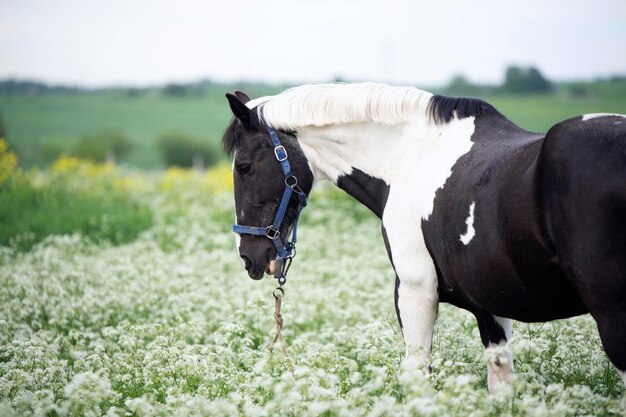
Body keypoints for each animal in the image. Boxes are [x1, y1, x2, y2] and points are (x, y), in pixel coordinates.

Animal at [222, 83, 620, 392]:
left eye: (244, 167)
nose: (248, 256)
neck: (412, 158)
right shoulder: (490, 305)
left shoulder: (416, 289)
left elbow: (417, 378)